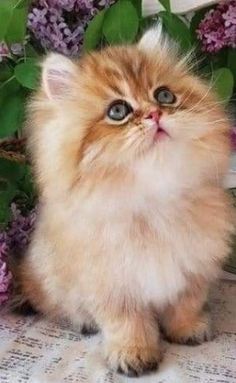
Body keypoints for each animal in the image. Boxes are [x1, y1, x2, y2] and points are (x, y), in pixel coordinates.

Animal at [16, 27, 232, 378]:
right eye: (118, 111)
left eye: (164, 96)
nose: (155, 114)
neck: (152, 201)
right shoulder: (111, 285)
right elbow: (127, 323)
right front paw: (134, 353)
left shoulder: (193, 270)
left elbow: (185, 304)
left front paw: (186, 329)